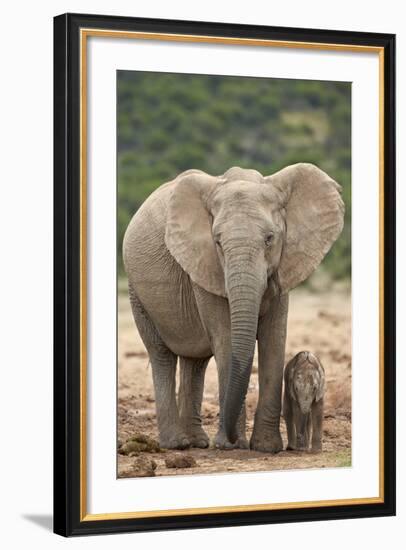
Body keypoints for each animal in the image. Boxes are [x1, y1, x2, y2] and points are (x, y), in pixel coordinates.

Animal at [123, 166, 342, 454]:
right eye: (217, 242)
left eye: (269, 239)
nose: (231, 438)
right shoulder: (204, 264)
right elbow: (226, 338)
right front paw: (233, 446)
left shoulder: (283, 265)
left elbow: (274, 338)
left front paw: (266, 447)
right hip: (136, 292)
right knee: (162, 355)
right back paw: (177, 444)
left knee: (195, 361)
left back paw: (197, 442)